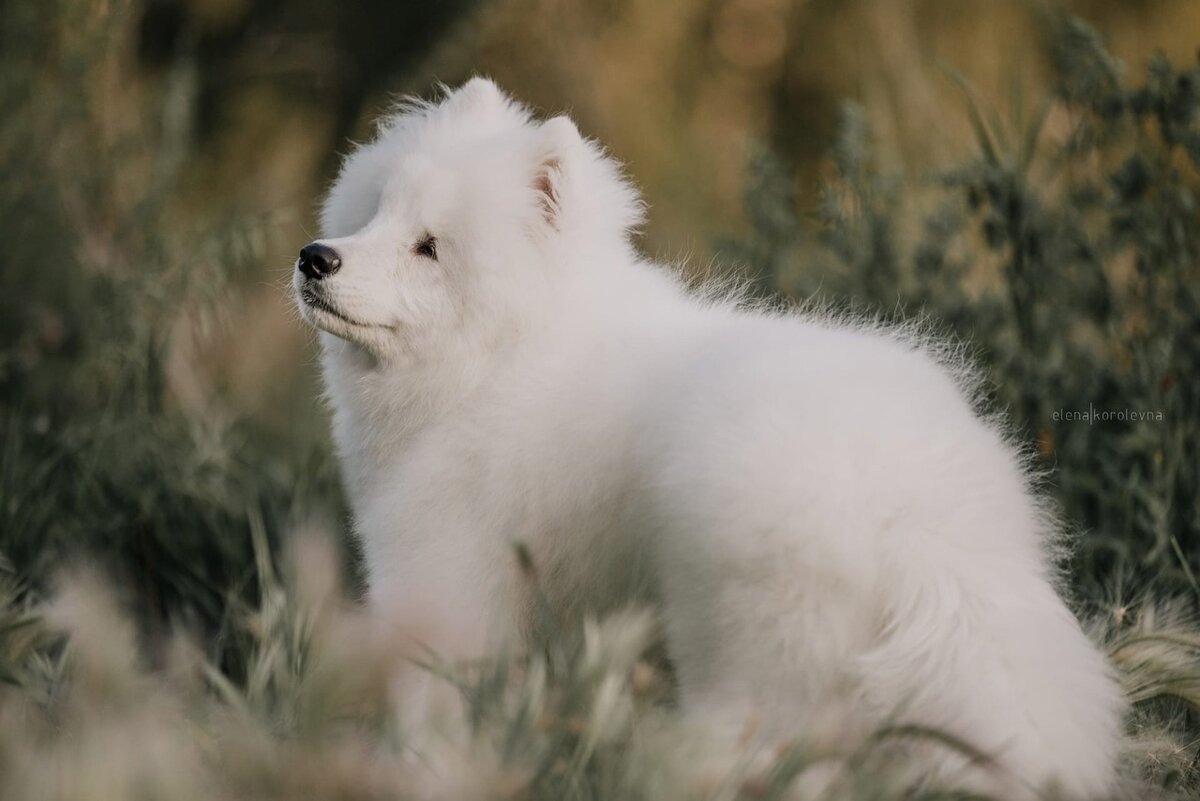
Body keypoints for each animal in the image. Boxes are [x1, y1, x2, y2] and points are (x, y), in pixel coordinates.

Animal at [292, 77, 1123, 796]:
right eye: (373, 213)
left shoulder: (446, 576)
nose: (314, 257)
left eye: (429, 248)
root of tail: (914, 515)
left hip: (751, 657)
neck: (506, 357)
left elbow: (430, 712)